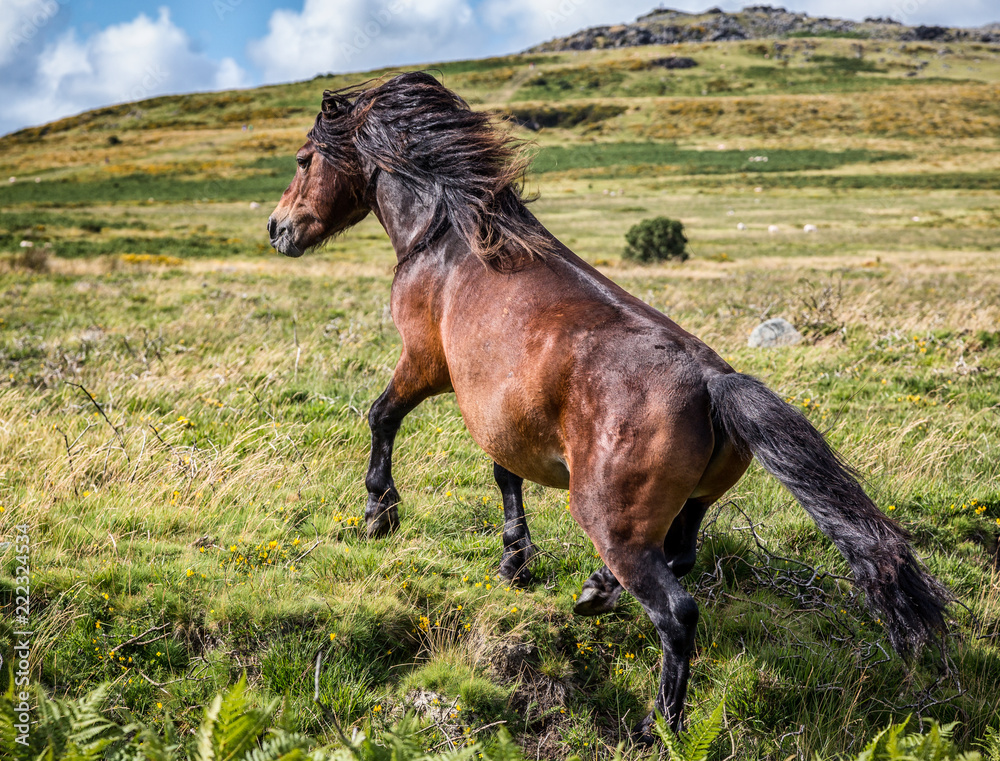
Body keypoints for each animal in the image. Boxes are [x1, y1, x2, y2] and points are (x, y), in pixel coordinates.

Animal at [267, 71, 950, 740]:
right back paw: (597, 592)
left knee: (676, 612)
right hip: (687, 507)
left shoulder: (426, 362)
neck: (451, 240)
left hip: (608, 517)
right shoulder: (502, 410)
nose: (278, 229)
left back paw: (658, 722)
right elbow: (505, 474)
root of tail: (714, 385)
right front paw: (515, 560)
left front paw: (378, 513)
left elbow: (383, 415)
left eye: (303, 159)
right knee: (681, 556)